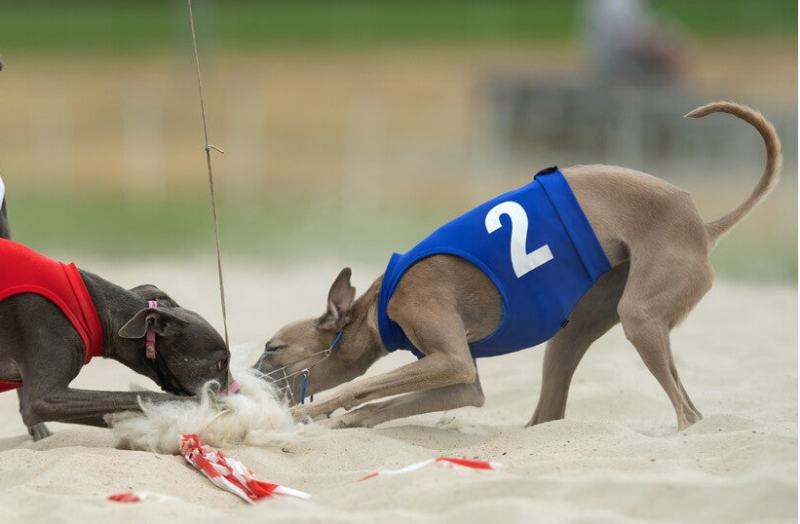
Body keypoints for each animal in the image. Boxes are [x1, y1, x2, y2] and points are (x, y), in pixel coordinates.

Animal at [254, 101, 781, 431]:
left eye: (272, 348)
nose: (241, 381)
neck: (381, 304)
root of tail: (702, 226)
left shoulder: (447, 355)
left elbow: (361, 389)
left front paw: (305, 416)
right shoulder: (461, 380)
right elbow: (391, 403)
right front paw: (341, 420)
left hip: (640, 317)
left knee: (687, 414)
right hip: (578, 329)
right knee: (552, 411)